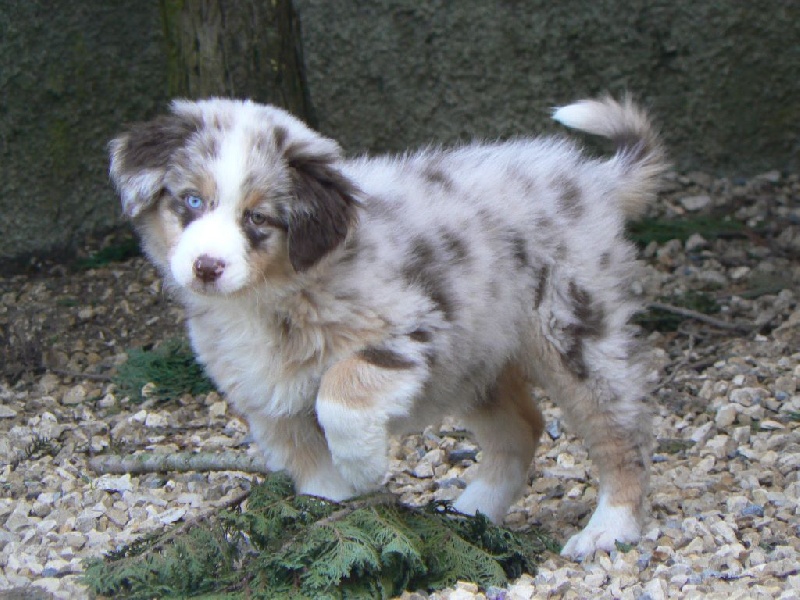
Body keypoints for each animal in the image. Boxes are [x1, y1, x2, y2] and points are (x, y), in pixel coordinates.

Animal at [109, 95, 666, 559]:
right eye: (190, 201)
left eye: (258, 219)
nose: (207, 267)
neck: (271, 297)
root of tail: (594, 179)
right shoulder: (271, 404)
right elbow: (315, 476)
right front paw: (333, 518)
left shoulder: (415, 328)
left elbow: (339, 390)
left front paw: (363, 465)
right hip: (476, 359)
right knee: (522, 429)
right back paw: (472, 512)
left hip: (571, 328)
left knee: (623, 433)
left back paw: (608, 528)